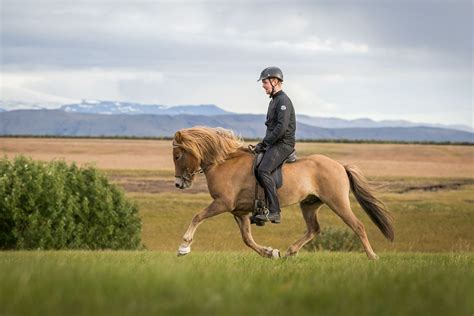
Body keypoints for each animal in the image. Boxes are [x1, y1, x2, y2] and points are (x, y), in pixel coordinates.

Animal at [172, 126, 394, 260]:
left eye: (177, 156)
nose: (178, 184)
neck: (224, 163)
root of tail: (340, 165)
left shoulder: (222, 204)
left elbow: (197, 217)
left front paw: (184, 247)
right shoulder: (239, 211)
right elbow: (247, 238)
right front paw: (270, 252)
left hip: (337, 202)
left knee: (357, 226)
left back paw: (372, 256)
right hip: (309, 204)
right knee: (314, 229)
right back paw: (289, 252)